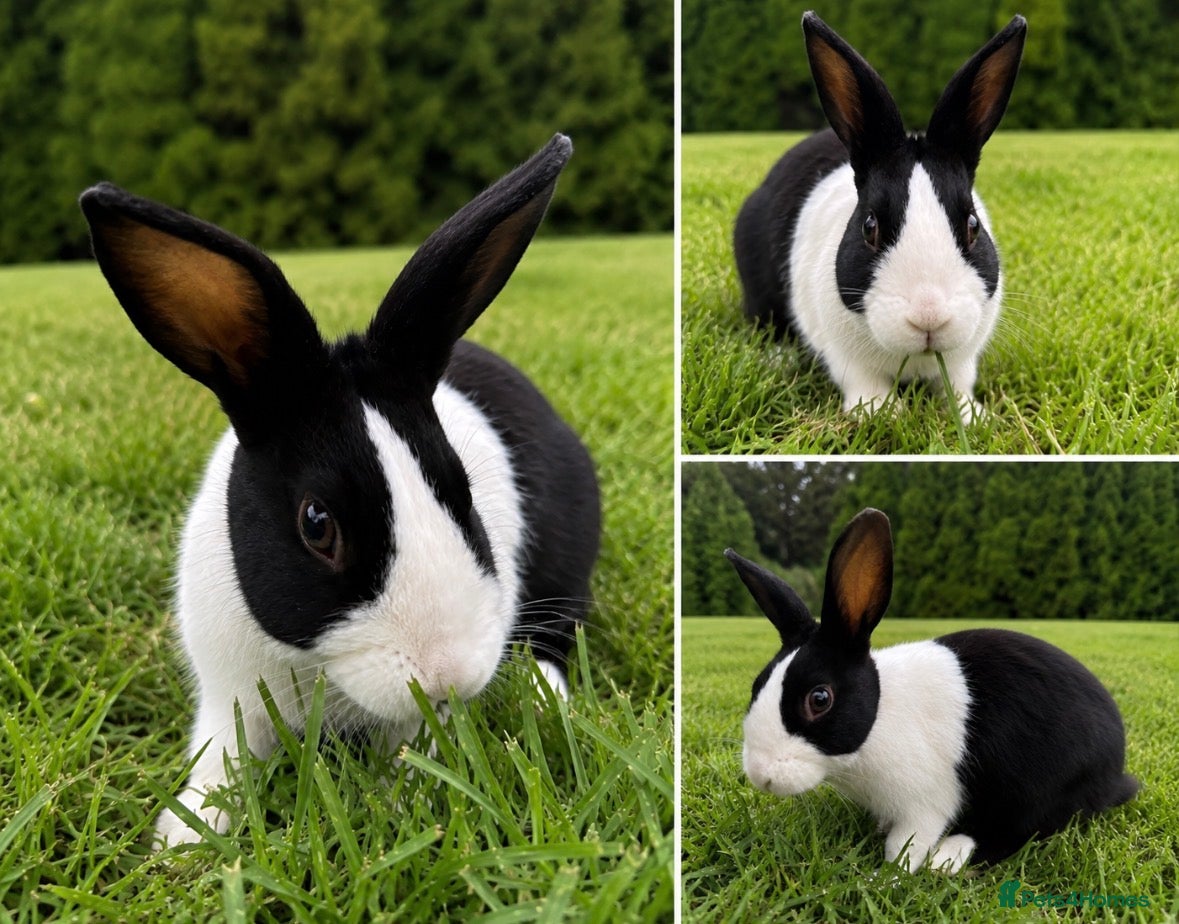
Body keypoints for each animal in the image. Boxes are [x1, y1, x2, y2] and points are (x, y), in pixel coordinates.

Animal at [79, 133, 601, 848]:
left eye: (461, 489)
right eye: (316, 523)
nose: (448, 677)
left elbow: (413, 755)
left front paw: (406, 810)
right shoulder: (227, 692)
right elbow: (221, 761)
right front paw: (183, 841)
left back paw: (546, 699)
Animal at [725, 508, 1138, 873]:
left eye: (819, 699)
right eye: (757, 684)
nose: (760, 775)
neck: (879, 717)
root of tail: (1116, 774)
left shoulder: (924, 804)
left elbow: (906, 845)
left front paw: (887, 877)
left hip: (1038, 790)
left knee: (1018, 832)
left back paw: (948, 858)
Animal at [733, 12, 1027, 416]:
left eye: (973, 226)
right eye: (869, 227)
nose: (929, 316)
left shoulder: (963, 358)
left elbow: (957, 383)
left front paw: (972, 415)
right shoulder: (845, 356)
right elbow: (863, 382)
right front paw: (881, 412)